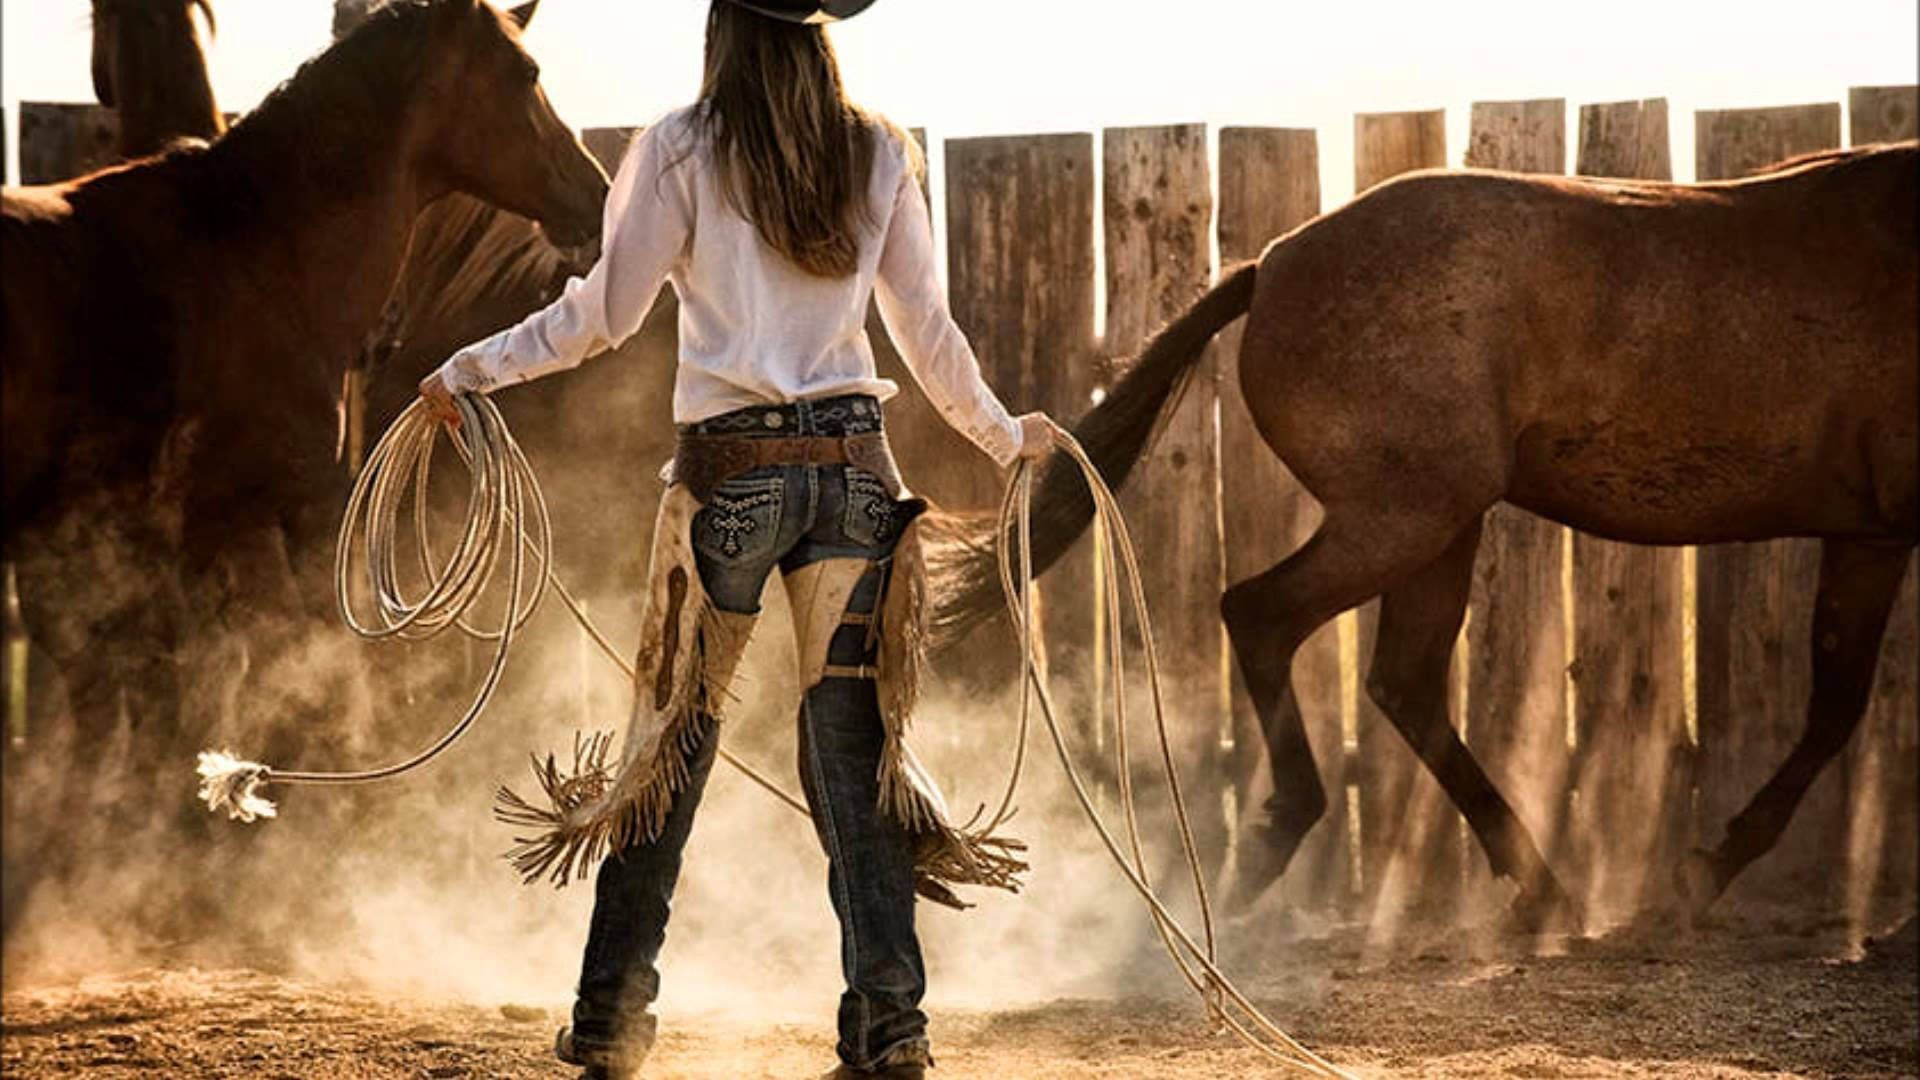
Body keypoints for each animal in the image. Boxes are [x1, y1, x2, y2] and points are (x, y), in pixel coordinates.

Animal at [936, 138, 1912, 922]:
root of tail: (1274, 264)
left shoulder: (1869, 536)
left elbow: (1835, 705)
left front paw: (1704, 869)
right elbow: (1836, 712)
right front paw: (1703, 872)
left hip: (1441, 530)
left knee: (1402, 681)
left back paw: (1540, 889)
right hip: (1405, 518)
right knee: (1264, 615)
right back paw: (1286, 838)